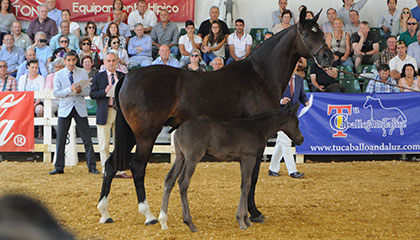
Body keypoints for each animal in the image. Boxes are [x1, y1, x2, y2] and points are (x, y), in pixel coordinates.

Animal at [159, 104, 304, 232]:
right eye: (296, 123)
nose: (301, 139)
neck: (257, 128)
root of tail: (180, 125)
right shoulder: (248, 158)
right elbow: (246, 185)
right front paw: (242, 221)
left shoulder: (243, 161)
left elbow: (246, 184)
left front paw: (246, 219)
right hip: (192, 158)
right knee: (183, 182)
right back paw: (190, 223)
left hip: (180, 157)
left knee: (169, 179)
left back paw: (163, 221)